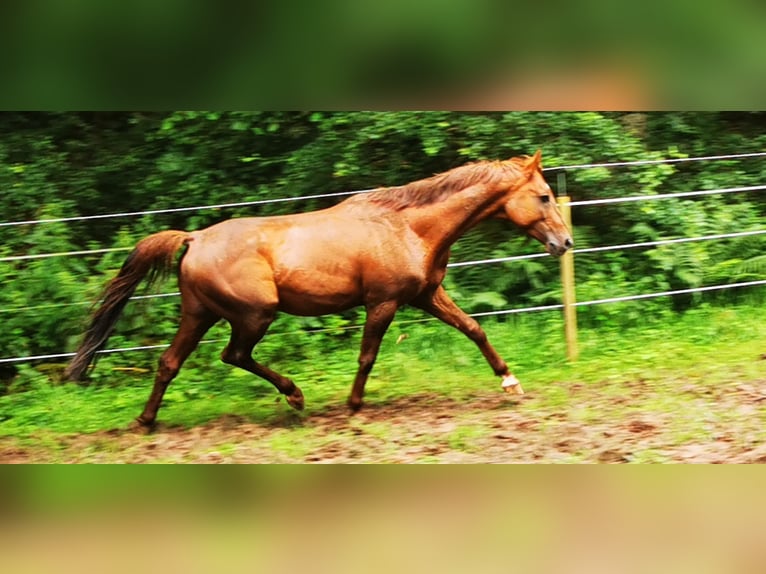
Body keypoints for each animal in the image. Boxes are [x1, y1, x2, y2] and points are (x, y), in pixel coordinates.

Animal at [64, 151, 568, 430]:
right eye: (544, 196)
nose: (564, 243)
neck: (407, 226)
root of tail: (195, 238)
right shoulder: (383, 301)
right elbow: (367, 356)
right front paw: (354, 404)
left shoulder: (425, 295)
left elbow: (474, 329)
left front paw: (511, 383)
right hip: (255, 314)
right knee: (233, 355)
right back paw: (295, 396)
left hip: (200, 313)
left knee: (170, 362)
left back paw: (146, 422)